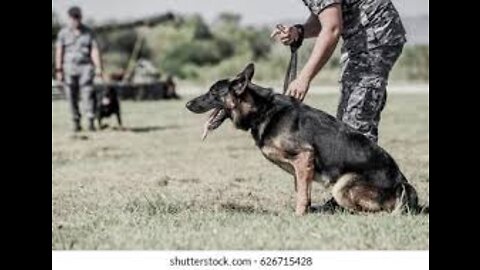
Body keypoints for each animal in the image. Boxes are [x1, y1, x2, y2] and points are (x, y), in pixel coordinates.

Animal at [186, 62, 426, 215]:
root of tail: (402, 182)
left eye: (213, 93)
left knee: (380, 212)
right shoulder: (300, 167)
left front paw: (299, 216)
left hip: (342, 186)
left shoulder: (303, 157)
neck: (262, 110)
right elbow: (302, 191)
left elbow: (301, 194)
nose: (187, 104)